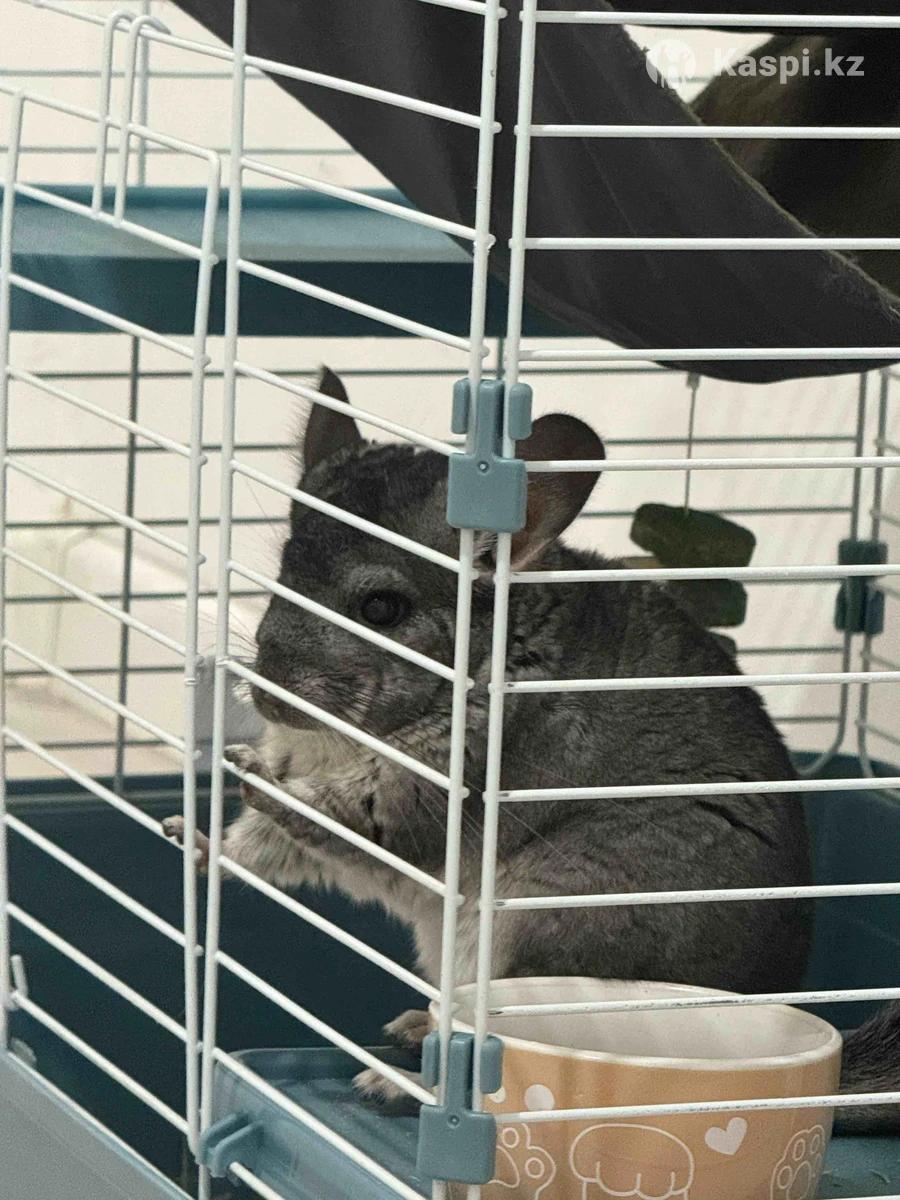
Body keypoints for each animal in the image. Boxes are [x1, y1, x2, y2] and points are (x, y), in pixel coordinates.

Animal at [165, 367, 897, 1131]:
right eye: (283, 570)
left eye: (382, 609)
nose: (269, 700)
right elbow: (255, 846)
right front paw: (187, 833)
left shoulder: (427, 797)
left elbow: (329, 815)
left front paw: (247, 770)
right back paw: (413, 1027)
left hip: (549, 923)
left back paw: (396, 1082)